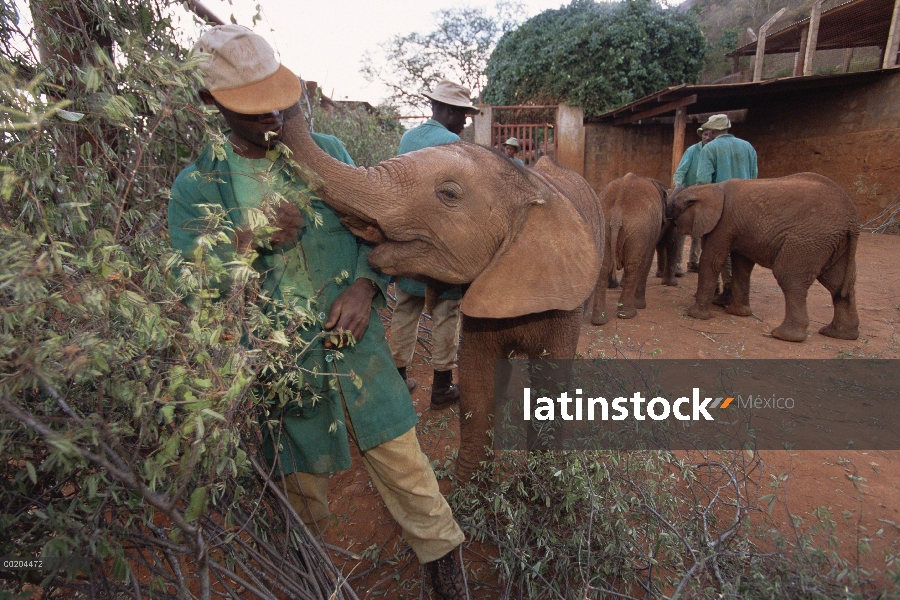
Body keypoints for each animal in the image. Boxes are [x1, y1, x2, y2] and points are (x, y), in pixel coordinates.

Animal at [282, 106, 604, 482]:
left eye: (449, 194)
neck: (530, 186)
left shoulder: (564, 299)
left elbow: (549, 387)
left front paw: (543, 485)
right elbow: (476, 380)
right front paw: (468, 486)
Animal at [592, 171, 684, 326]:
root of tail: (617, 212)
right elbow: (650, 256)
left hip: (605, 223)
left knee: (604, 266)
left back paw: (599, 320)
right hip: (638, 228)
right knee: (633, 266)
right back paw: (629, 313)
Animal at [664, 173, 860, 342]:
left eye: (673, 207)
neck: (709, 188)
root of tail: (852, 220)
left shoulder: (723, 224)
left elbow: (712, 261)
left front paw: (695, 315)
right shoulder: (737, 229)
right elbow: (741, 264)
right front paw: (737, 313)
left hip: (808, 241)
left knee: (790, 278)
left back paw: (784, 336)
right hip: (833, 243)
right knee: (839, 284)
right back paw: (839, 334)